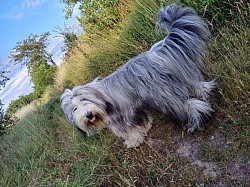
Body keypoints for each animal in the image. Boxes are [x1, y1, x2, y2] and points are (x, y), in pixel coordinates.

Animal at [61, 4, 217, 148]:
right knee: (195, 85)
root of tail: (154, 55)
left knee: (188, 106)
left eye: (85, 100)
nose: (88, 115)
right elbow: (141, 121)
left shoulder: (120, 117)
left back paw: (195, 122)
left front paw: (133, 141)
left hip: (164, 96)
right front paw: (146, 127)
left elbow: (129, 130)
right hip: (180, 76)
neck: (101, 98)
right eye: (74, 109)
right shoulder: (134, 110)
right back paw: (206, 90)